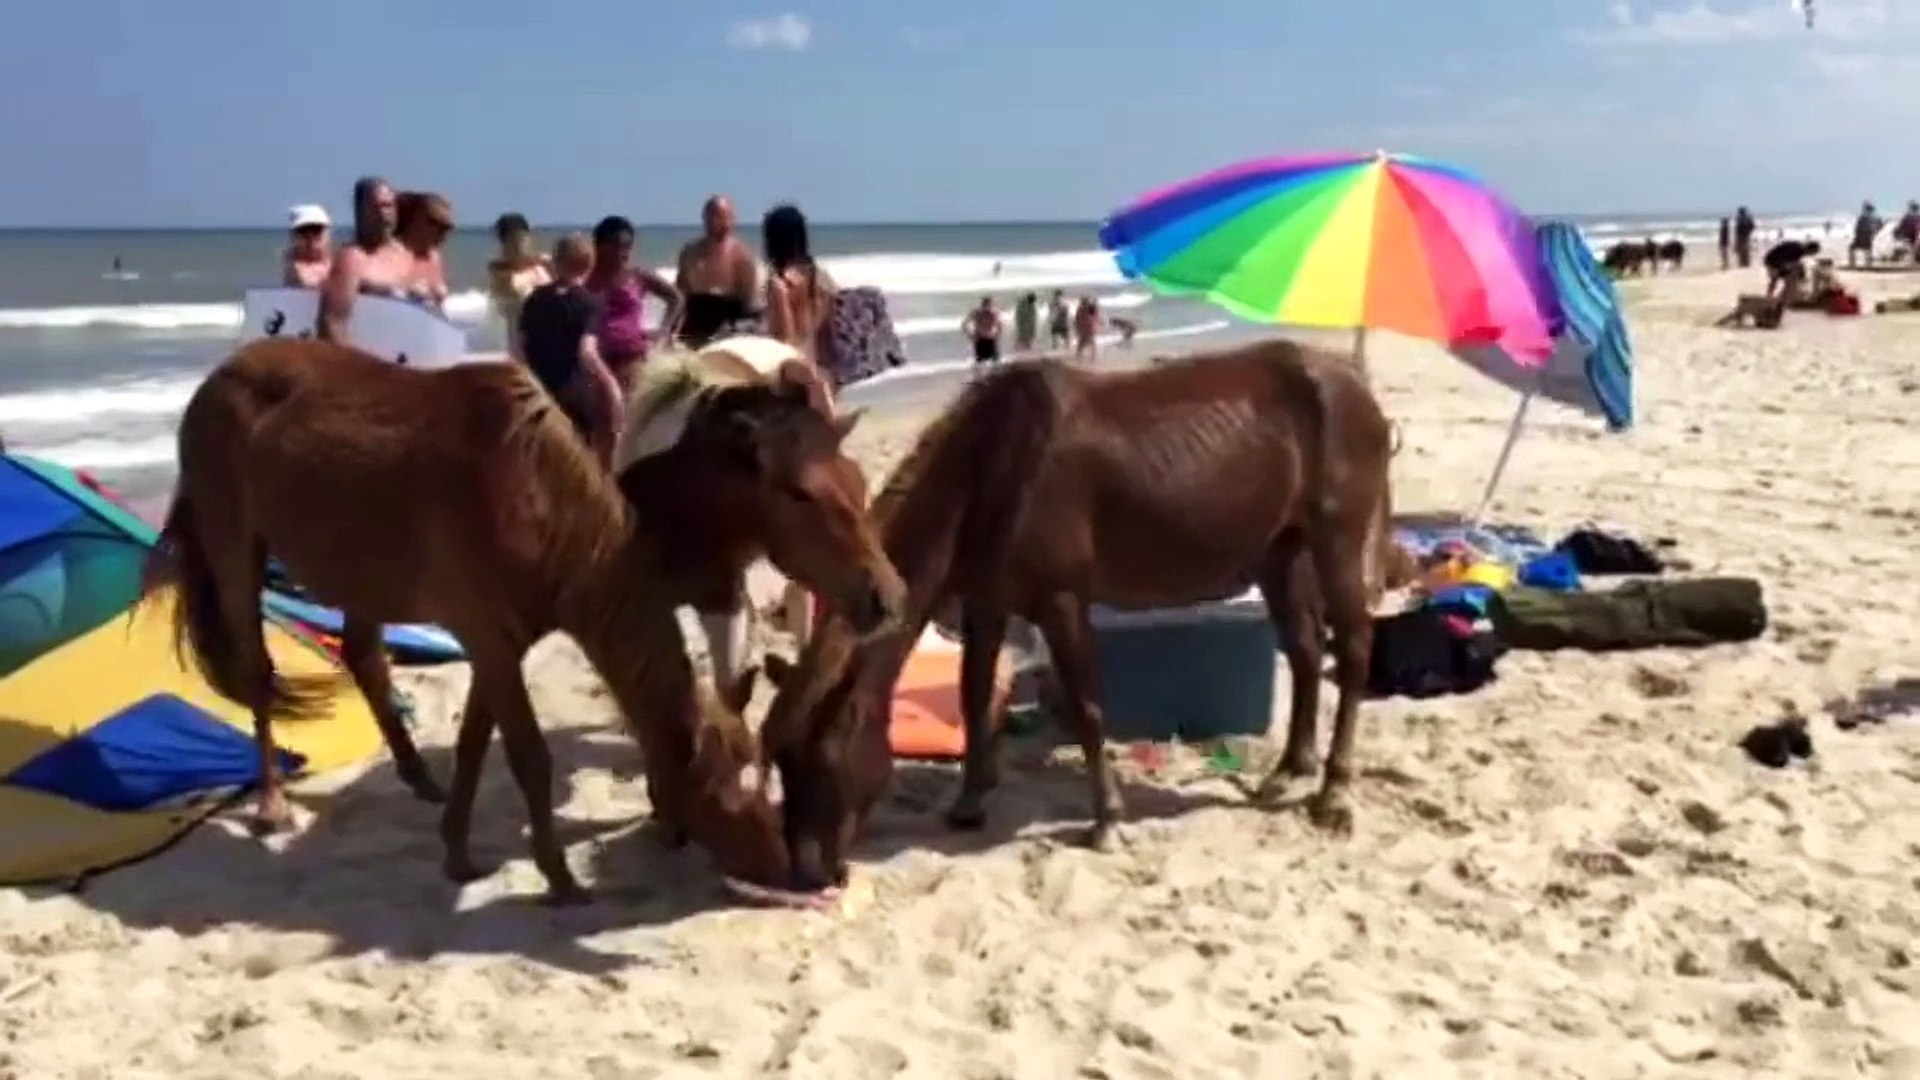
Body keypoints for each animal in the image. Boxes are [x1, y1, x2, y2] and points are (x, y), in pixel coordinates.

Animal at [144, 338, 902, 903]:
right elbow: (529, 757)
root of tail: (218, 375)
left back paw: (417, 777)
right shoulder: (490, 638)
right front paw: (560, 878)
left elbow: (477, 744)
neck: (543, 507)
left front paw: (457, 850)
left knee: (362, 654)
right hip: (234, 543)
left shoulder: (497, 645)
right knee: (256, 668)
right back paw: (272, 805)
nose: (790, 873)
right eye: (721, 797)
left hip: (362, 572)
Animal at [758, 338, 1397, 891]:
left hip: (1336, 541)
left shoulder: (1061, 603)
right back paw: (1291, 768)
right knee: (1307, 652)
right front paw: (970, 800)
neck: (993, 467)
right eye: (781, 763)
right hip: (1279, 553)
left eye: (824, 762)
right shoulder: (987, 604)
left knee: (1353, 651)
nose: (808, 874)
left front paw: (1107, 819)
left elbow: (1087, 709)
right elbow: (973, 693)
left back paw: (1334, 792)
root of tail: (1355, 384)